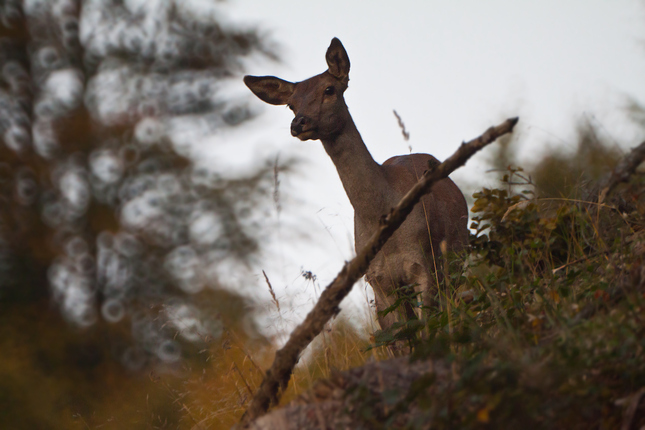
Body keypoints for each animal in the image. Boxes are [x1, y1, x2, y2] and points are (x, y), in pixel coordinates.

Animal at [243, 37, 468, 336]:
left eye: (329, 89)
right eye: (291, 104)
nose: (298, 123)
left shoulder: (425, 265)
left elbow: (427, 330)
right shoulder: (378, 280)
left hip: (457, 253)